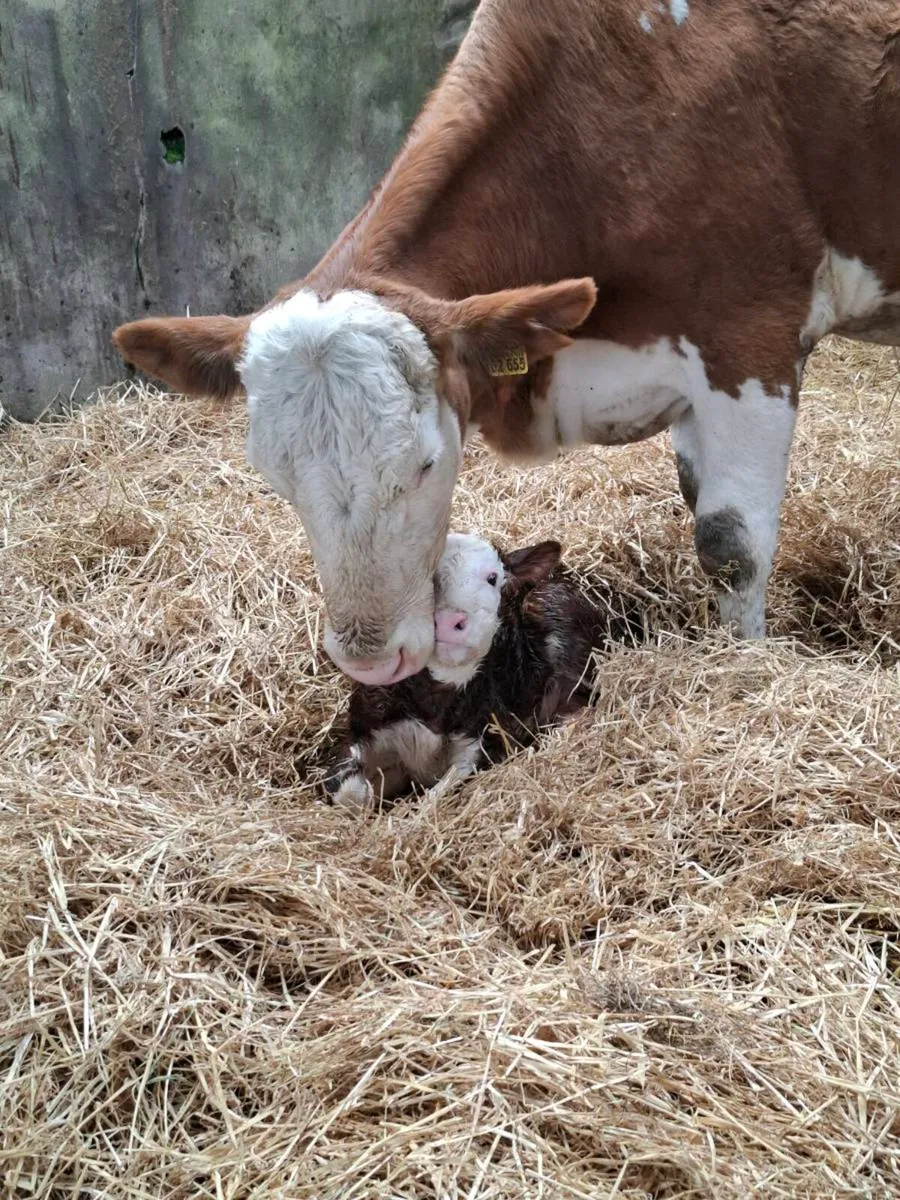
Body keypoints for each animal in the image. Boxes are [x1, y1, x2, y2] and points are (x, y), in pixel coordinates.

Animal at [113, 0, 900, 686]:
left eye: (427, 464)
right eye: (274, 476)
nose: (370, 662)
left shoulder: (750, 337)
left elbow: (732, 545)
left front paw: (744, 660)